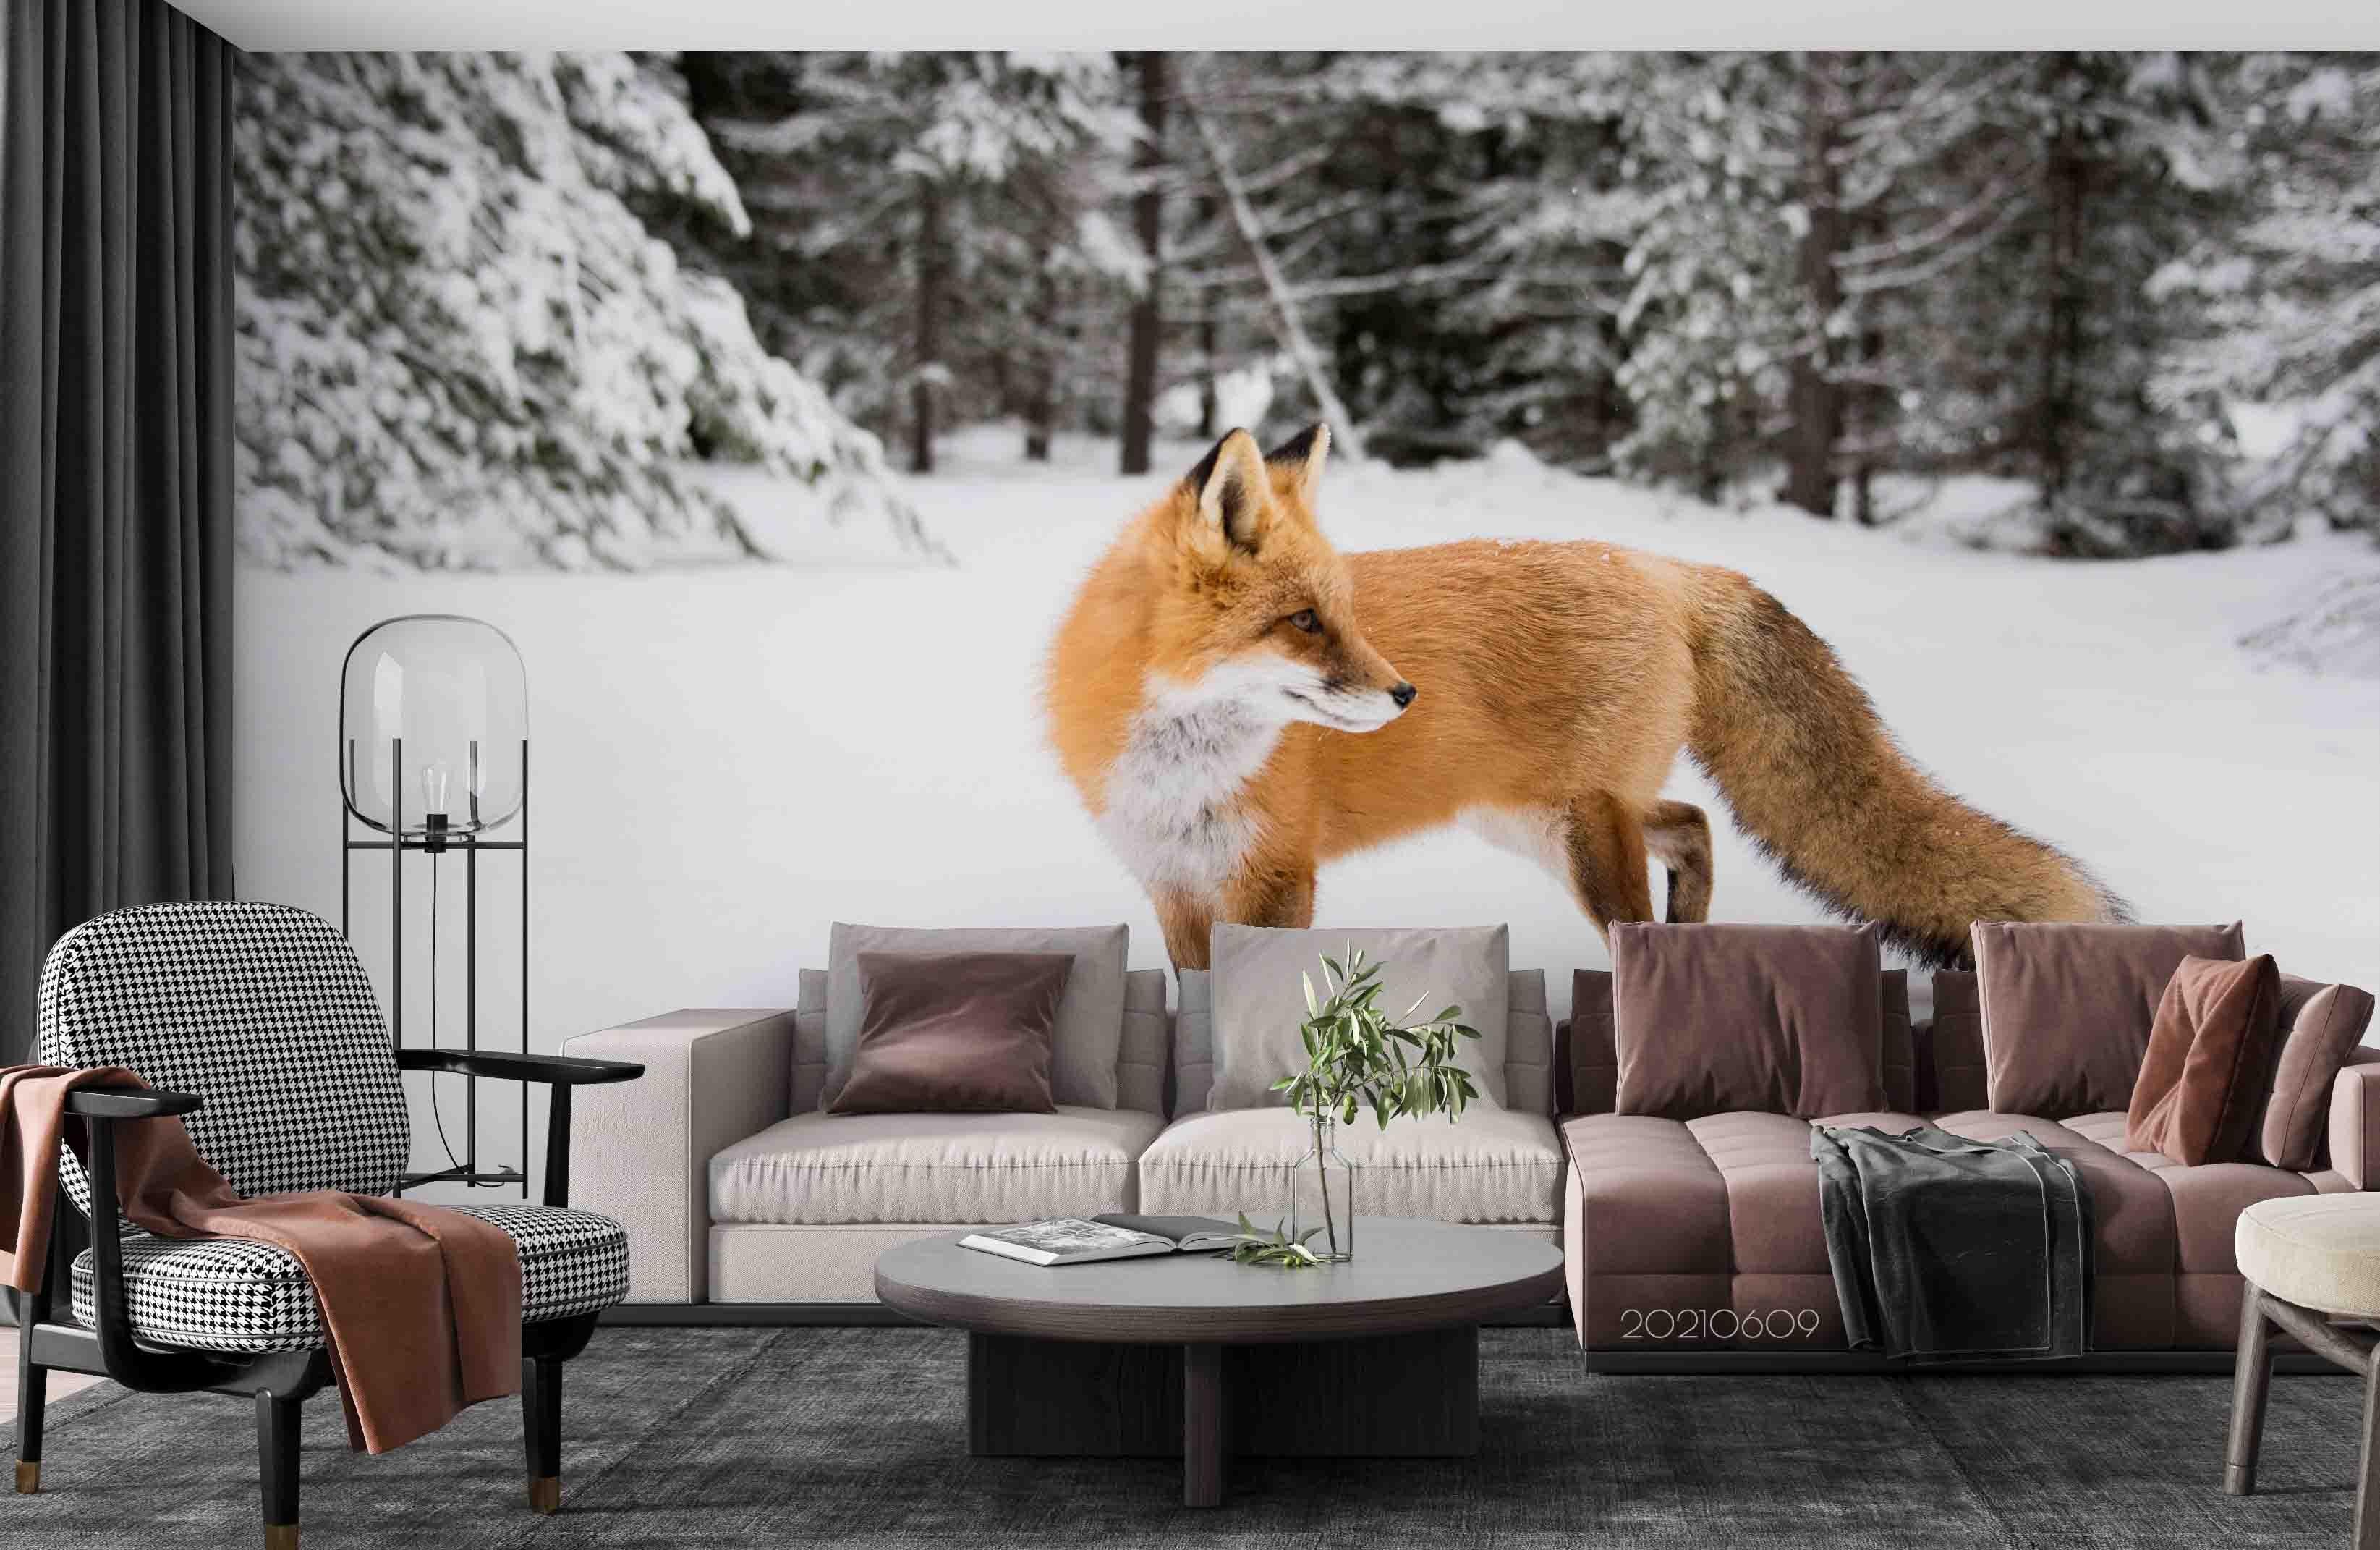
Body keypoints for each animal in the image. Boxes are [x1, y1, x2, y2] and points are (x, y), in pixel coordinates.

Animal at [1043, 423, 2127, 971]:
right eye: (1305, 621)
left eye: (1341, 613)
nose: (1403, 692)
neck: (1183, 768)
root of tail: (1662, 565)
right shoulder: (1176, 887)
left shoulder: (1273, 879)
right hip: (1530, 820)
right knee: (1691, 821)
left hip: (1574, 832)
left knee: (1667, 871)